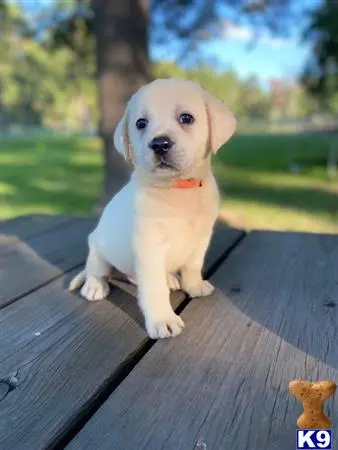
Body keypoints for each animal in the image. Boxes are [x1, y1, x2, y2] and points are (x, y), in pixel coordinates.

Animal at [69, 78, 235, 338]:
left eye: (186, 118)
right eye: (141, 123)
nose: (159, 144)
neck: (178, 188)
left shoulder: (201, 238)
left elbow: (193, 265)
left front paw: (194, 285)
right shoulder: (150, 246)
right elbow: (154, 288)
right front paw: (162, 319)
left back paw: (170, 278)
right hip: (98, 250)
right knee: (96, 270)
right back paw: (94, 287)